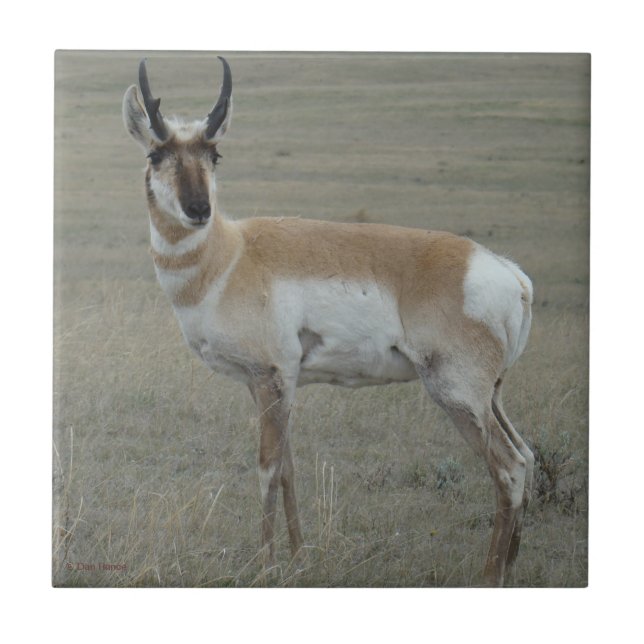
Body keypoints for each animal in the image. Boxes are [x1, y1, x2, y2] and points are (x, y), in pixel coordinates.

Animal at [122, 56, 534, 586]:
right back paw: (511, 566)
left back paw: (489, 573)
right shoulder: (270, 385)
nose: (198, 210)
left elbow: (266, 468)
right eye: (156, 154)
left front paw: (266, 564)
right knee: (527, 455)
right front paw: (298, 558)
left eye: (215, 154)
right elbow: (288, 468)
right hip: (492, 396)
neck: (231, 255)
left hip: (458, 394)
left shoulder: (272, 378)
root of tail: (505, 271)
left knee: (508, 467)